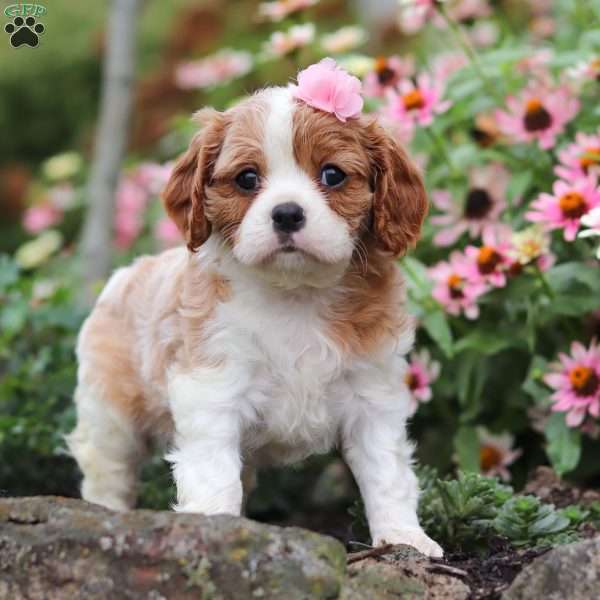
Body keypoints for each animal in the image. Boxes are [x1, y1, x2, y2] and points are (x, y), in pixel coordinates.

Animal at [70, 79, 442, 556]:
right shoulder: (212, 389)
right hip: (110, 412)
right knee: (108, 469)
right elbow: (214, 473)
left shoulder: (372, 394)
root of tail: (128, 271)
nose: (286, 213)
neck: (294, 295)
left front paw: (403, 538)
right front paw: (214, 526)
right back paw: (105, 516)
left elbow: (386, 472)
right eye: (247, 179)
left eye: (333, 175)